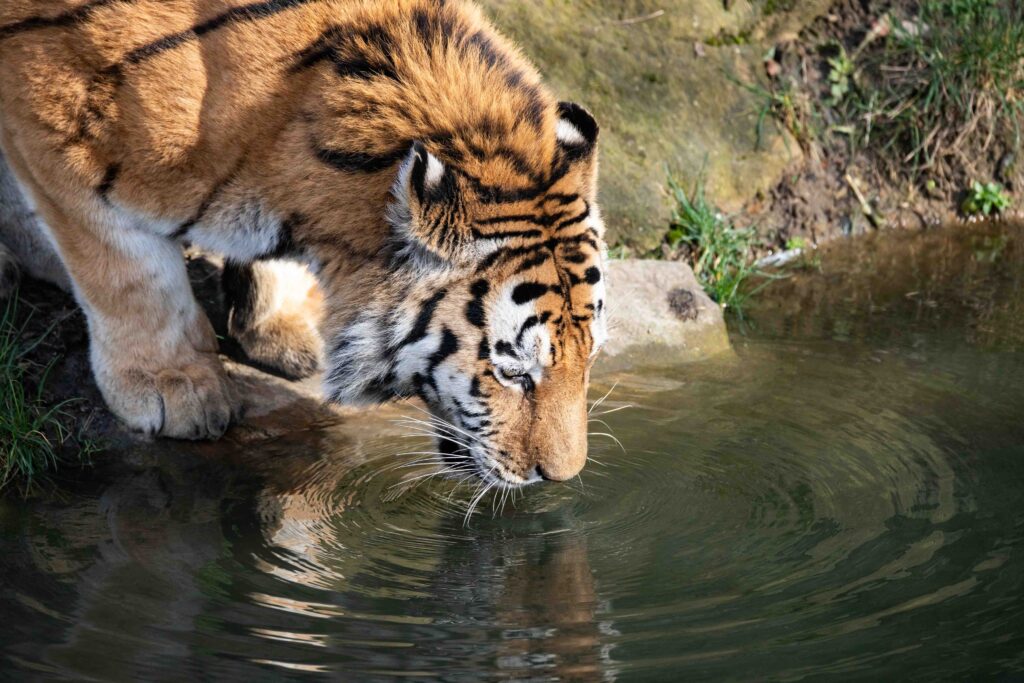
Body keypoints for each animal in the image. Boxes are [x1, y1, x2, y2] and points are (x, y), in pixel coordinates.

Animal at [0, 0, 606, 485]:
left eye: (591, 355)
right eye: (514, 374)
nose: (561, 477)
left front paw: (285, 327)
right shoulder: (57, 123)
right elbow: (129, 274)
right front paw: (172, 386)